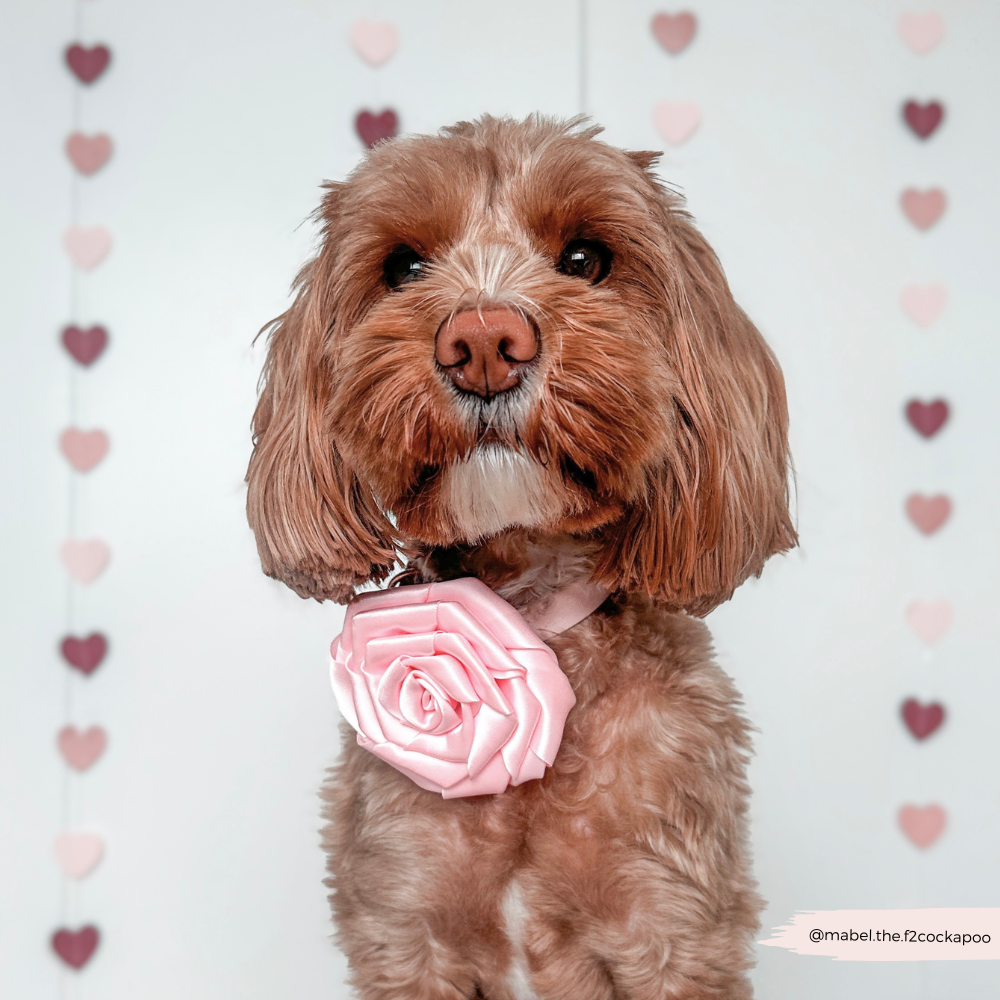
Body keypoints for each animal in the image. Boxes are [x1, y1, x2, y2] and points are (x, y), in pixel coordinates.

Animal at [246, 115, 792, 1000]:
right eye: (403, 268)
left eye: (585, 259)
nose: (482, 342)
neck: (531, 611)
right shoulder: (405, 928)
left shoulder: (674, 930)